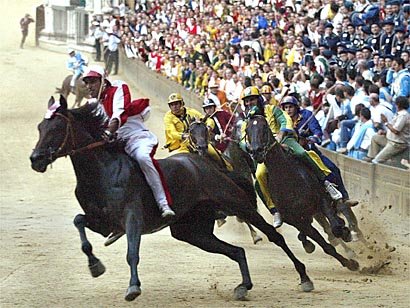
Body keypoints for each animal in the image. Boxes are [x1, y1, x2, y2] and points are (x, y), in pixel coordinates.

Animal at [30, 97, 314, 302]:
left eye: (56, 127)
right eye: (40, 127)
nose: (36, 159)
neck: (102, 170)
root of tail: (207, 165)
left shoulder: (132, 217)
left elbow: (132, 252)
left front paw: (133, 287)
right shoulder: (103, 222)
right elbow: (79, 223)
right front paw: (95, 265)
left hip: (236, 203)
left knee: (273, 236)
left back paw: (304, 277)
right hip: (191, 230)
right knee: (236, 250)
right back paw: (244, 285)